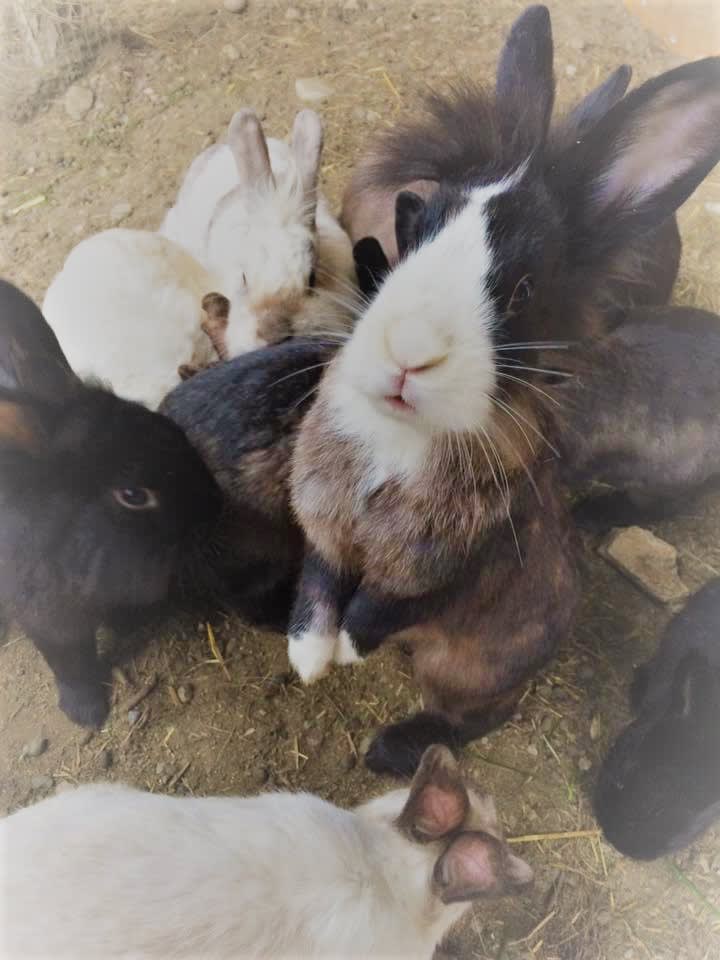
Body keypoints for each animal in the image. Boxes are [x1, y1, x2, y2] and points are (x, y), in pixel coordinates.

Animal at [0, 277, 223, 728]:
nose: (215, 503)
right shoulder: (48, 618)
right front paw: (85, 711)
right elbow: (69, 662)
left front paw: (128, 624)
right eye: (133, 495)